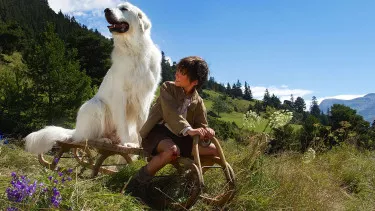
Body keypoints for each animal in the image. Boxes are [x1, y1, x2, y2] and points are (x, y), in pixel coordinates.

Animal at [24, 2, 162, 154]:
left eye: (124, 8)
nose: (106, 10)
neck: (134, 51)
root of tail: (76, 131)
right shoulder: (120, 96)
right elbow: (123, 124)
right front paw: (126, 143)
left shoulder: (146, 98)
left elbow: (143, 125)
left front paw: (141, 146)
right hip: (96, 105)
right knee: (87, 138)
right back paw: (104, 140)